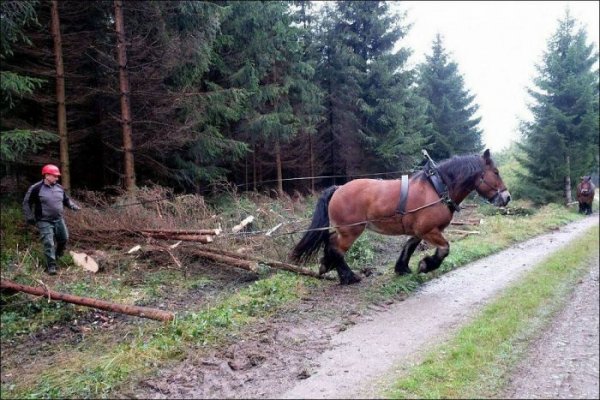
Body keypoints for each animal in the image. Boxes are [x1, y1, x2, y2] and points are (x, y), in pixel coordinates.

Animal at [290, 149, 510, 284]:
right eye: (496, 172)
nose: (507, 197)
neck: (438, 188)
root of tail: (338, 188)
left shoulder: (419, 231)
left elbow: (409, 246)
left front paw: (402, 268)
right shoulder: (429, 230)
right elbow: (444, 249)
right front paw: (426, 265)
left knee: (330, 244)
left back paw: (329, 266)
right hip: (350, 231)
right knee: (335, 248)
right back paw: (348, 276)